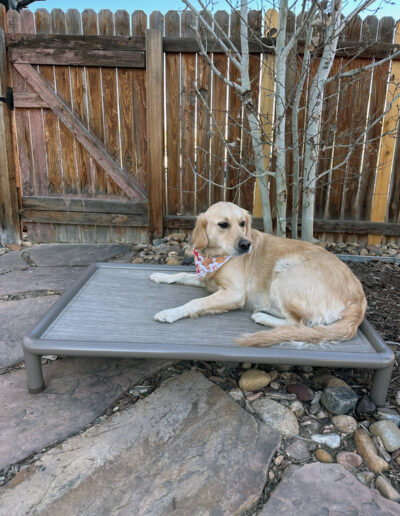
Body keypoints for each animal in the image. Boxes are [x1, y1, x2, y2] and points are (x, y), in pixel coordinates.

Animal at [149, 202, 366, 346]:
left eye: (242, 223)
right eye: (223, 224)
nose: (246, 244)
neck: (215, 256)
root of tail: (359, 298)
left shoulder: (235, 293)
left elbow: (196, 302)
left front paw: (171, 313)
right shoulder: (207, 279)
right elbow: (181, 275)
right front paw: (160, 276)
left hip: (284, 272)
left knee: (299, 324)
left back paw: (263, 317)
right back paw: (265, 308)